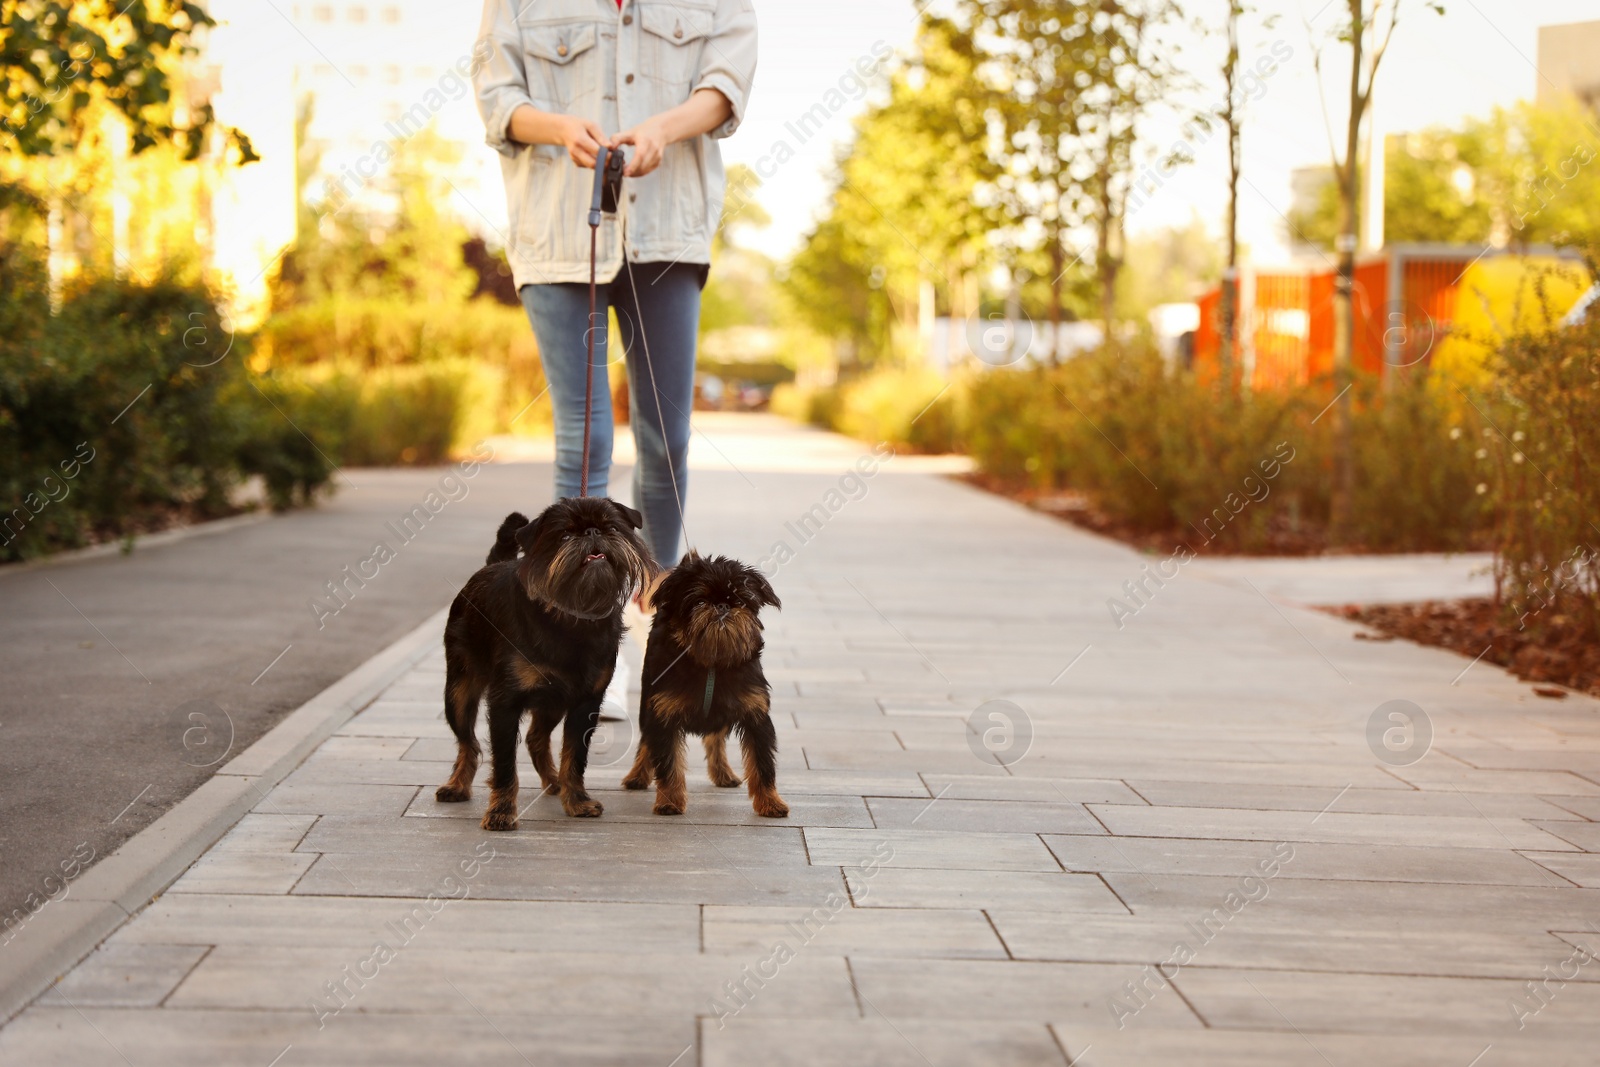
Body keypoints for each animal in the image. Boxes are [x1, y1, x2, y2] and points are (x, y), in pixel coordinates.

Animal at [435, 495, 652, 831]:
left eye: (613, 527)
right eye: (563, 536)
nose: (592, 532)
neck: (572, 618)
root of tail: (491, 565)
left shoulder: (585, 703)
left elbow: (574, 757)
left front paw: (576, 801)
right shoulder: (504, 703)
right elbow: (504, 765)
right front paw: (500, 812)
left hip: (552, 702)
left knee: (536, 739)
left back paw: (554, 781)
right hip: (458, 693)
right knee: (467, 742)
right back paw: (457, 785)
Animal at [617, 550, 787, 819]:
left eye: (740, 600)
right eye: (698, 602)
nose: (722, 605)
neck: (712, 661)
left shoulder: (756, 718)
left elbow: (763, 765)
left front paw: (771, 802)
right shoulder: (663, 714)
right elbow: (668, 762)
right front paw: (669, 802)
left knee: (715, 738)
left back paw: (723, 773)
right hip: (648, 701)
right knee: (646, 740)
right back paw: (637, 775)